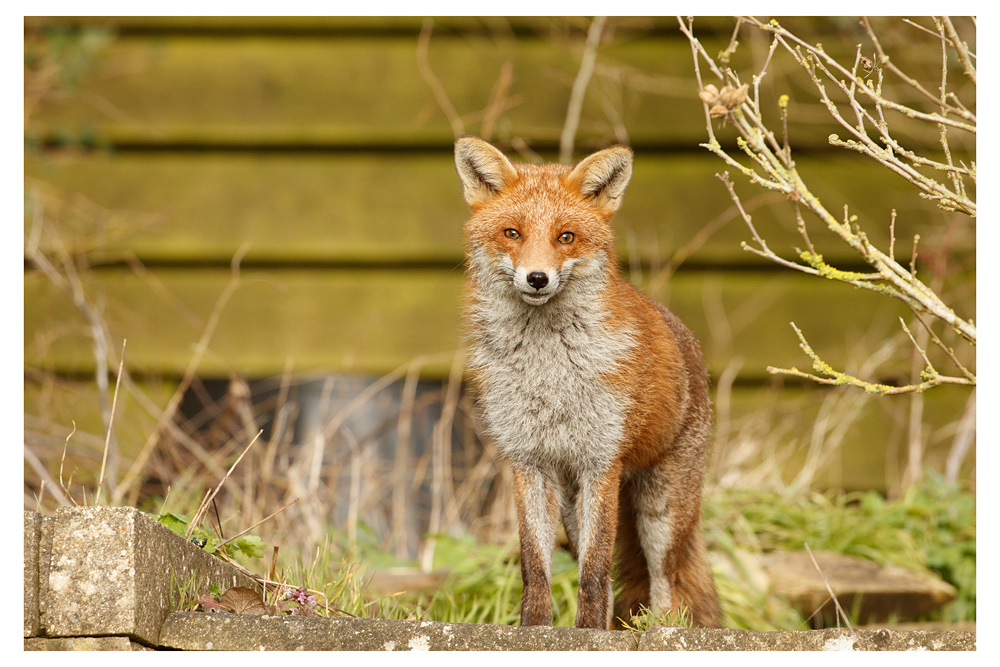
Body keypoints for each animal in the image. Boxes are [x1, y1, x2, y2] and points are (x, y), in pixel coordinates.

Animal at [454, 136, 721, 630]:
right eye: (512, 233)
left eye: (566, 237)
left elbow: (594, 575)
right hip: (575, 507)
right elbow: (537, 568)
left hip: (660, 510)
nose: (537, 278)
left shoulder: (601, 462)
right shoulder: (530, 462)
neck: (549, 372)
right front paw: (537, 630)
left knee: (666, 585)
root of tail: (689, 342)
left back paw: (662, 631)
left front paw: (590, 634)